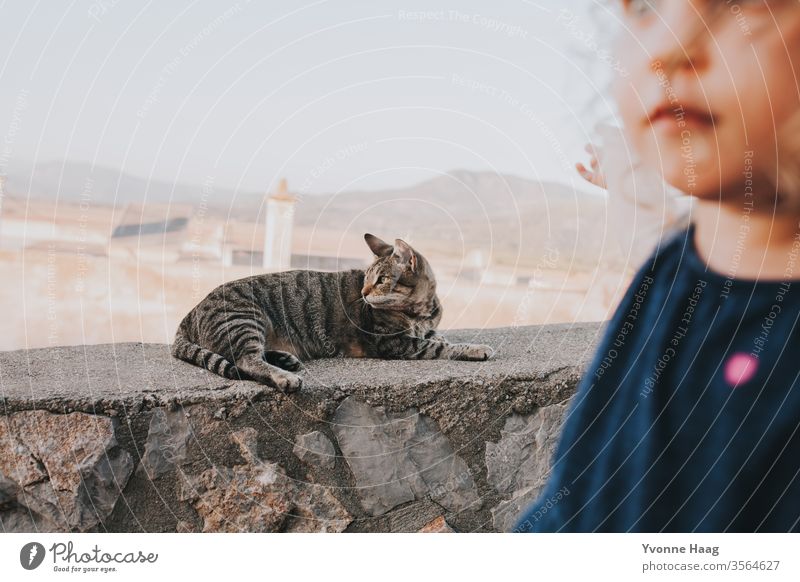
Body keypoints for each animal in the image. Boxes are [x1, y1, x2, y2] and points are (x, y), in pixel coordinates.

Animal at [172, 235, 490, 394]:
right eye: (366, 278)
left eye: (381, 279)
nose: (363, 293)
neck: (421, 310)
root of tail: (191, 312)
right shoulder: (393, 343)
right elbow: (440, 346)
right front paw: (476, 348)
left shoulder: (423, 330)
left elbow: (440, 337)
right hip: (245, 319)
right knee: (246, 360)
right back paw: (284, 376)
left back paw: (285, 359)